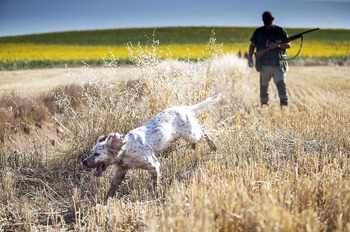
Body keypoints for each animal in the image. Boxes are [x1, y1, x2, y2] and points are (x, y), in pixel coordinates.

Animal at [82, 93, 220, 202]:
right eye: (91, 152)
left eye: (97, 154)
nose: (83, 162)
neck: (126, 150)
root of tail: (184, 108)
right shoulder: (120, 171)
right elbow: (112, 188)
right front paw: (104, 202)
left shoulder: (153, 165)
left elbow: (155, 184)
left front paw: (156, 195)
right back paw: (195, 146)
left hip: (191, 134)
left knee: (203, 131)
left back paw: (213, 146)